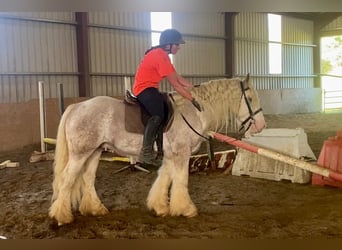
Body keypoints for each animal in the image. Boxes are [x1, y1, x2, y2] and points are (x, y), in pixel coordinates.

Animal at [48, 73, 268, 225]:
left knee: (88, 178)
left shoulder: (171, 155)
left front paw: (161, 207)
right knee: (67, 179)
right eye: (250, 98)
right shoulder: (181, 153)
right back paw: (62, 216)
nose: (261, 125)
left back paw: (95, 209)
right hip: (80, 153)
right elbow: (181, 180)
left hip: (94, 152)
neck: (194, 110)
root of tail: (77, 107)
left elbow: (164, 178)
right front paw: (186, 209)